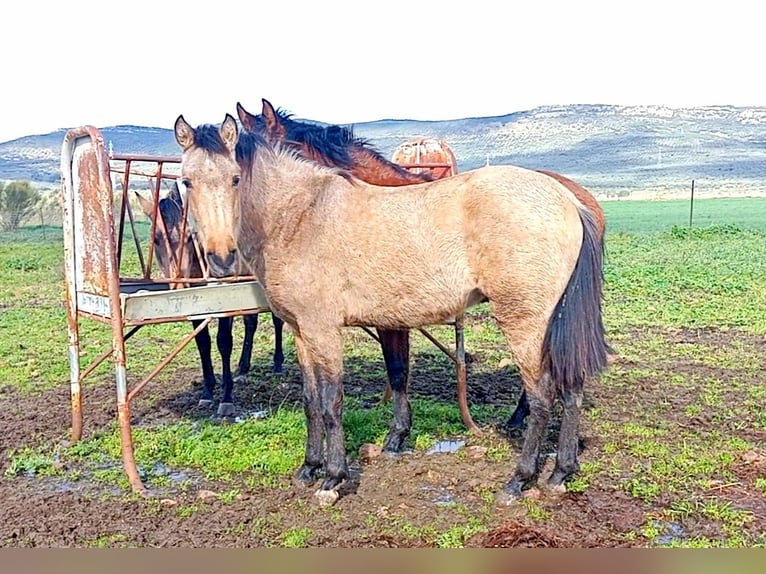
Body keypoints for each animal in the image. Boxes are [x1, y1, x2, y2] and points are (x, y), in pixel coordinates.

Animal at [135, 182, 284, 416]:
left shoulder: (224, 295)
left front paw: (226, 398)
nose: (179, 286)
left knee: (277, 320)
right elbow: (202, 342)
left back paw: (278, 364)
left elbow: (223, 342)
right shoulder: (197, 300)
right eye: (156, 239)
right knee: (251, 322)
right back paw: (242, 368)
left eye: (189, 236)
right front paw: (207, 392)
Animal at [174, 116, 612, 504]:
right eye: (187, 180)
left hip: (525, 321)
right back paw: (560, 474)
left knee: (542, 396)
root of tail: (568, 200)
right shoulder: (301, 332)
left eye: (235, 178)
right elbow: (311, 399)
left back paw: (519, 480)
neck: (302, 215)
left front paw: (333, 478)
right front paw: (309, 467)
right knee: (571, 388)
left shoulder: (324, 330)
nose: (221, 258)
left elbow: (332, 401)